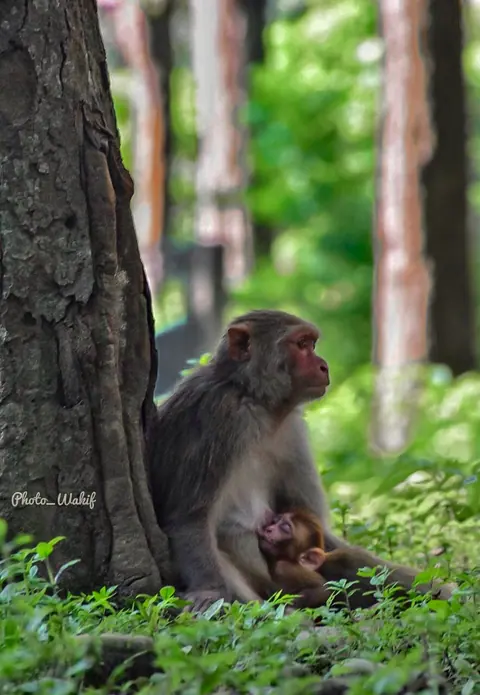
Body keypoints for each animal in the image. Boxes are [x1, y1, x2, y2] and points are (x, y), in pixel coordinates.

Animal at [148, 310, 451, 612]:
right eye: (302, 344)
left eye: (312, 344)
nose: (324, 366)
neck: (257, 402)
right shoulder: (215, 414)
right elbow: (190, 518)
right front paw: (209, 591)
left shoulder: (291, 432)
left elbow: (315, 527)